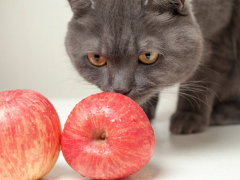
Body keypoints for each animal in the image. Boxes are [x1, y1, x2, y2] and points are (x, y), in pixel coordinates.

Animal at [64, 0, 240, 134]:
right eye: (97, 58)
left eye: (148, 56)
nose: (121, 89)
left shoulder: (218, 36)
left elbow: (203, 77)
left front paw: (188, 117)